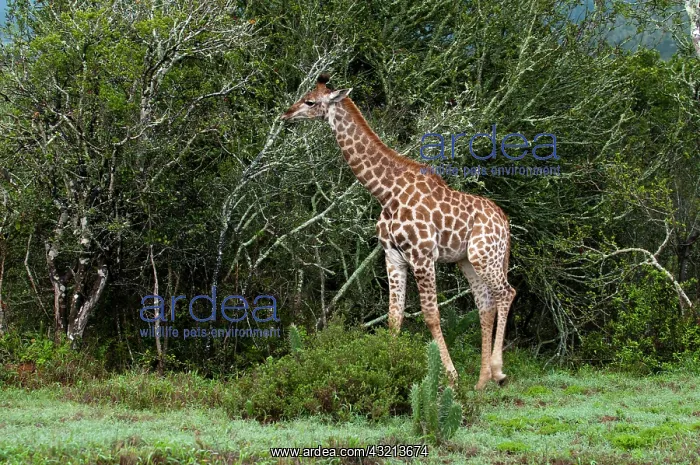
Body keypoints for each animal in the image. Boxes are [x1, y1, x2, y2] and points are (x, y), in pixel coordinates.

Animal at [281, 75, 516, 390]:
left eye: (309, 101)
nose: (286, 114)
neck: (386, 193)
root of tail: (505, 221)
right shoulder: (393, 257)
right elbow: (394, 316)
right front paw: (390, 370)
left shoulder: (422, 256)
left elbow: (430, 315)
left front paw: (451, 377)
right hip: (468, 260)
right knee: (485, 304)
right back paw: (481, 383)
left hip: (485, 256)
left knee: (506, 293)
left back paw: (497, 371)